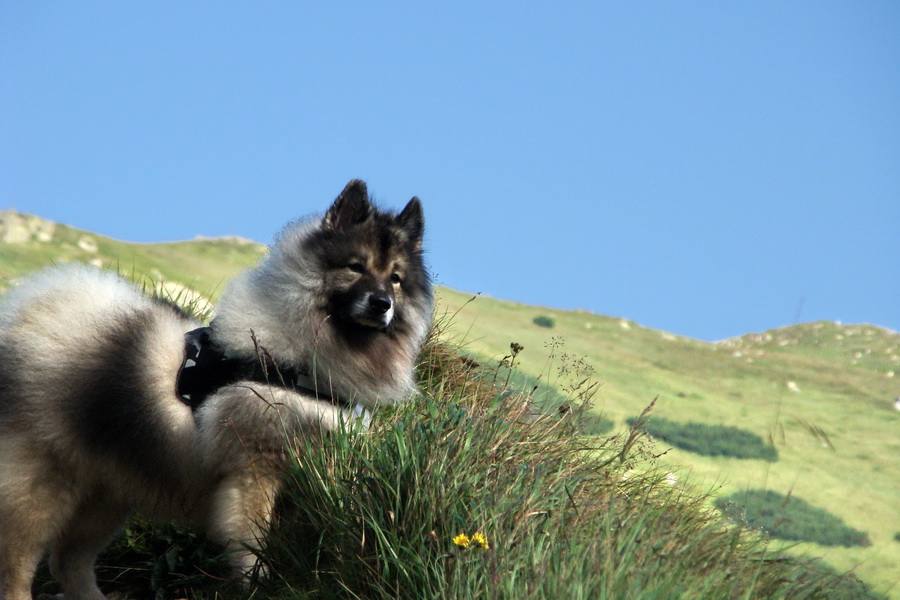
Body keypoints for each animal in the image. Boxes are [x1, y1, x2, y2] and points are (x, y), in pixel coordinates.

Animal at [0, 179, 432, 600]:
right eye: (356, 267)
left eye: (395, 278)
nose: (382, 303)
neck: (291, 359)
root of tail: (30, 312)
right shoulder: (254, 469)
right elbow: (252, 542)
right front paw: (257, 587)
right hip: (43, 485)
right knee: (18, 562)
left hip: (106, 490)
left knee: (69, 562)